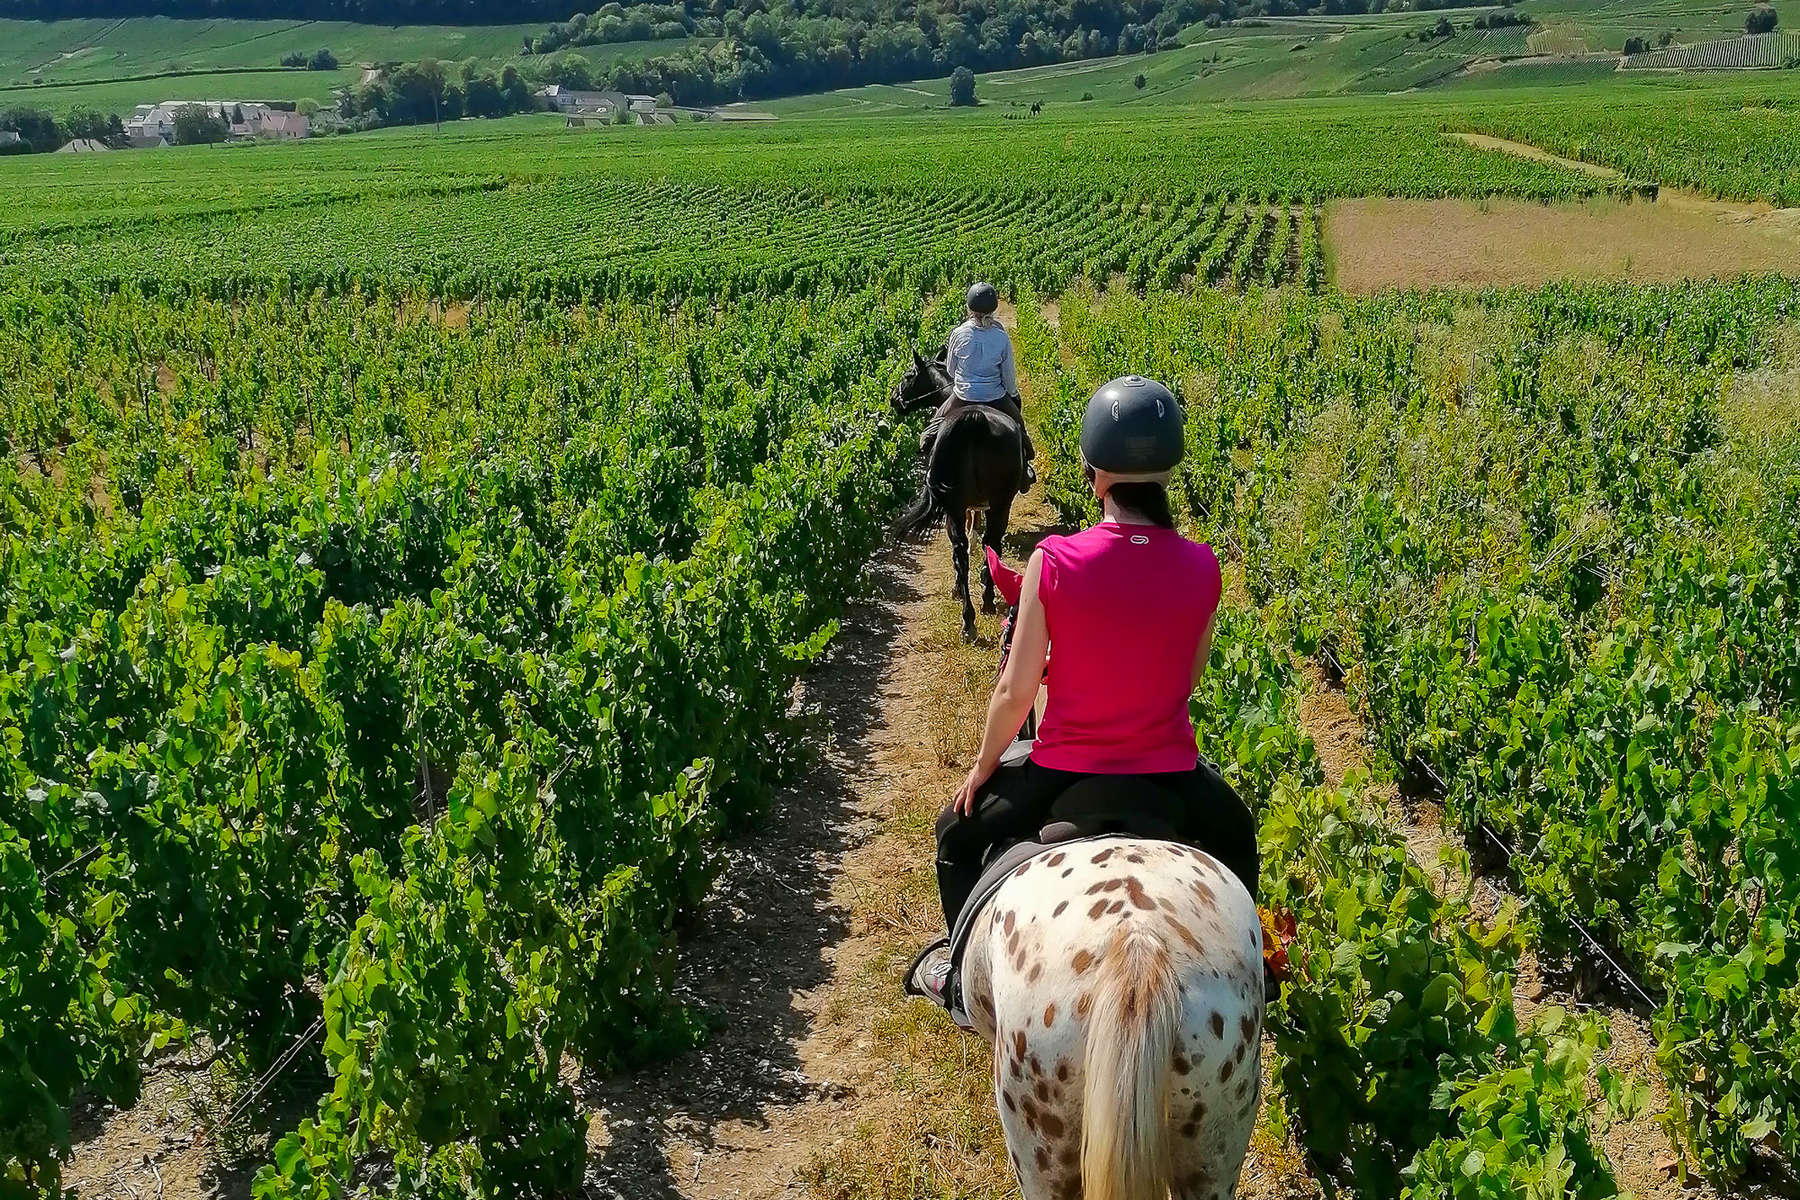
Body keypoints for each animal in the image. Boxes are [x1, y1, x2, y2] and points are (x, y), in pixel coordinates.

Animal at [889, 347, 1022, 644]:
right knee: (983, 545)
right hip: (995, 503)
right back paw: (979, 607)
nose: (894, 400)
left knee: (965, 549)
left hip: (966, 505)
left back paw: (971, 615)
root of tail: (975, 419)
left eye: (908, 375)